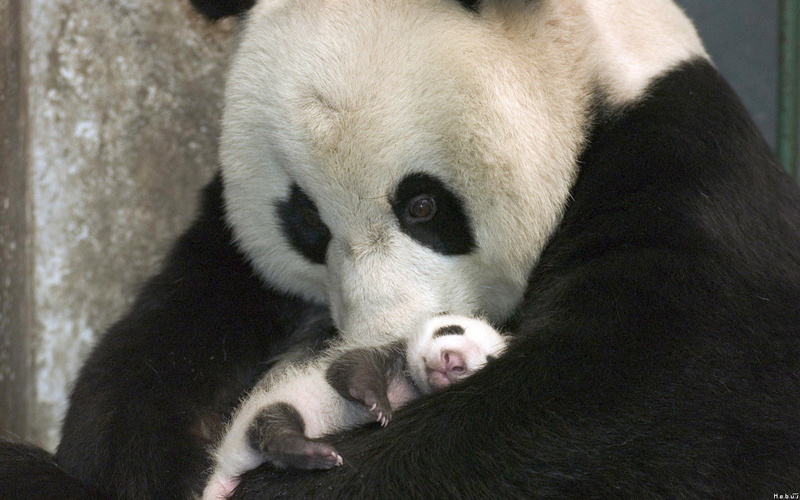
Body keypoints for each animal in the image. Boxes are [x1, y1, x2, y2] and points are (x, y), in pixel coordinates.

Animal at [2, 0, 799, 499]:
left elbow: (630, 402)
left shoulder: (686, 178)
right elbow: (154, 353)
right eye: (306, 224)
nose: (382, 340)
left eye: (422, 205)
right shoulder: (229, 250)